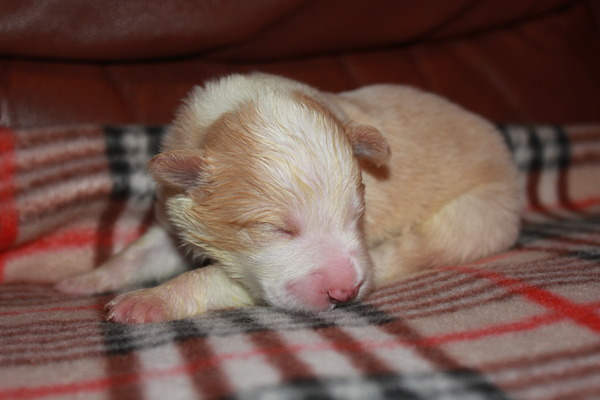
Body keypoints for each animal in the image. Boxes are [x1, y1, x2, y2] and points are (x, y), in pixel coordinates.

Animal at [57, 72, 524, 322]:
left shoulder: (255, 281)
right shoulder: (173, 218)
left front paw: (147, 301)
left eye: (357, 216)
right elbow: (138, 254)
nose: (344, 291)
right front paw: (83, 280)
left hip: (474, 216)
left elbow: (208, 278)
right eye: (277, 229)